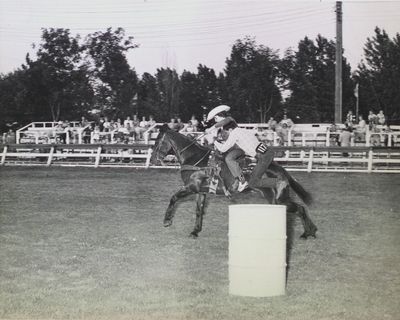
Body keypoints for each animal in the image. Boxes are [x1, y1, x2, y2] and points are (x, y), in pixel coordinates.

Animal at [148, 124, 318, 239]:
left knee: (299, 209)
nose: (153, 160)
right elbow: (198, 211)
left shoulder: (190, 187)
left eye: (157, 141)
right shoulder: (201, 192)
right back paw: (310, 231)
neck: (196, 160)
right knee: (301, 208)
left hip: (278, 200)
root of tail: (280, 170)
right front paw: (195, 231)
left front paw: (167, 221)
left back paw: (307, 232)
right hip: (278, 199)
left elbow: (173, 198)